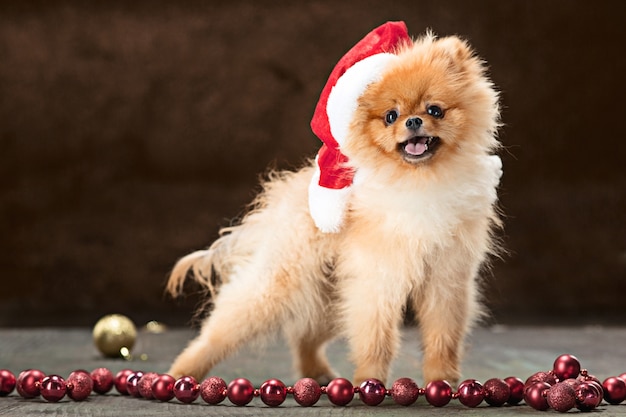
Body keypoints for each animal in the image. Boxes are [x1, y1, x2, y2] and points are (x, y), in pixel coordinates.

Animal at [166, 26, 502, 386]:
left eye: (435, 110)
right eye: (390, 116)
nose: (413, 121)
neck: (420, 180)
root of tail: (284, 197)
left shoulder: (446, 279)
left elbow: (443, 337)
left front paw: (443, 381)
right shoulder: (377, 278)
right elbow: (376, 339)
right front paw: (370, 381)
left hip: (330, 297)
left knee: (303, 336)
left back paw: (317, 371)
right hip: (279, 285)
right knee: (223, 327)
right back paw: (181, 372)